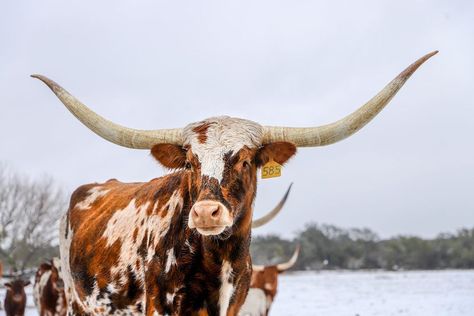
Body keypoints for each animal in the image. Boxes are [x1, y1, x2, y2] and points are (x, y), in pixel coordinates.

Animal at [32, 50, 436, 314]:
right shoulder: (158, 303)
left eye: (244, 159)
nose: (206, 213)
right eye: (190, 162)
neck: (216, 260)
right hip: (77, 302)